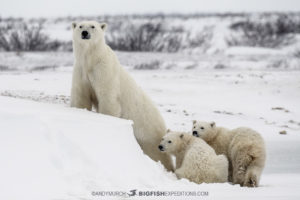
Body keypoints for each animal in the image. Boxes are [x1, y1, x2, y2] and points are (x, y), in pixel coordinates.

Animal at [70, 20, 173, 171]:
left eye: (93, 26)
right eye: (80, 26)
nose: (85, 33)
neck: (91, 59)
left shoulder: (104, 71)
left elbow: (108, 98)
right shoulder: (80, 71)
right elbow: (81, 97)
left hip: (149, 133)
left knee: (158, 154)